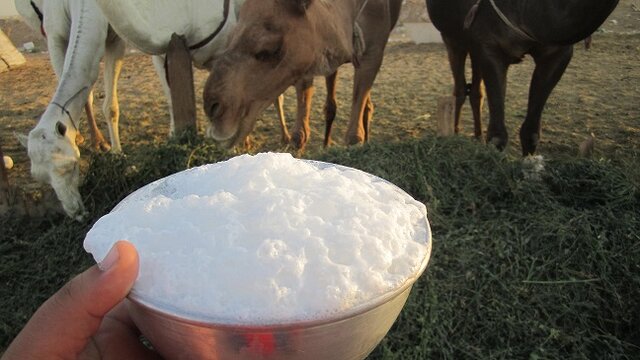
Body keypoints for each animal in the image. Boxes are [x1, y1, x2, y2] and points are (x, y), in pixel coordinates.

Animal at [15, 0, 125, 219]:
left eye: (73, 165)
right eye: (42, 178)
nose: (75, 212)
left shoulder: (116, 37)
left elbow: (110, 106)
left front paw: (116, 153)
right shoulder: (54, 33)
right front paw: (94, 142)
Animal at [202, 0, 402, 149]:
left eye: (269, 49)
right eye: (228, 39)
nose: (213, 109)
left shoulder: (373, 52)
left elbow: (353, 138)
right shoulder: (304, 63)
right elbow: (299, 136)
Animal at [428, 0, 616, 154]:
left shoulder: (558, 53)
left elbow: (531, 133)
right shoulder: (490, 47)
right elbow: (497, 137)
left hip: (473, 47)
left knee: (476, 92)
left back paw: (477, 137)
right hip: (452, 38)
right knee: (460, 88)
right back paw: (455, 135)